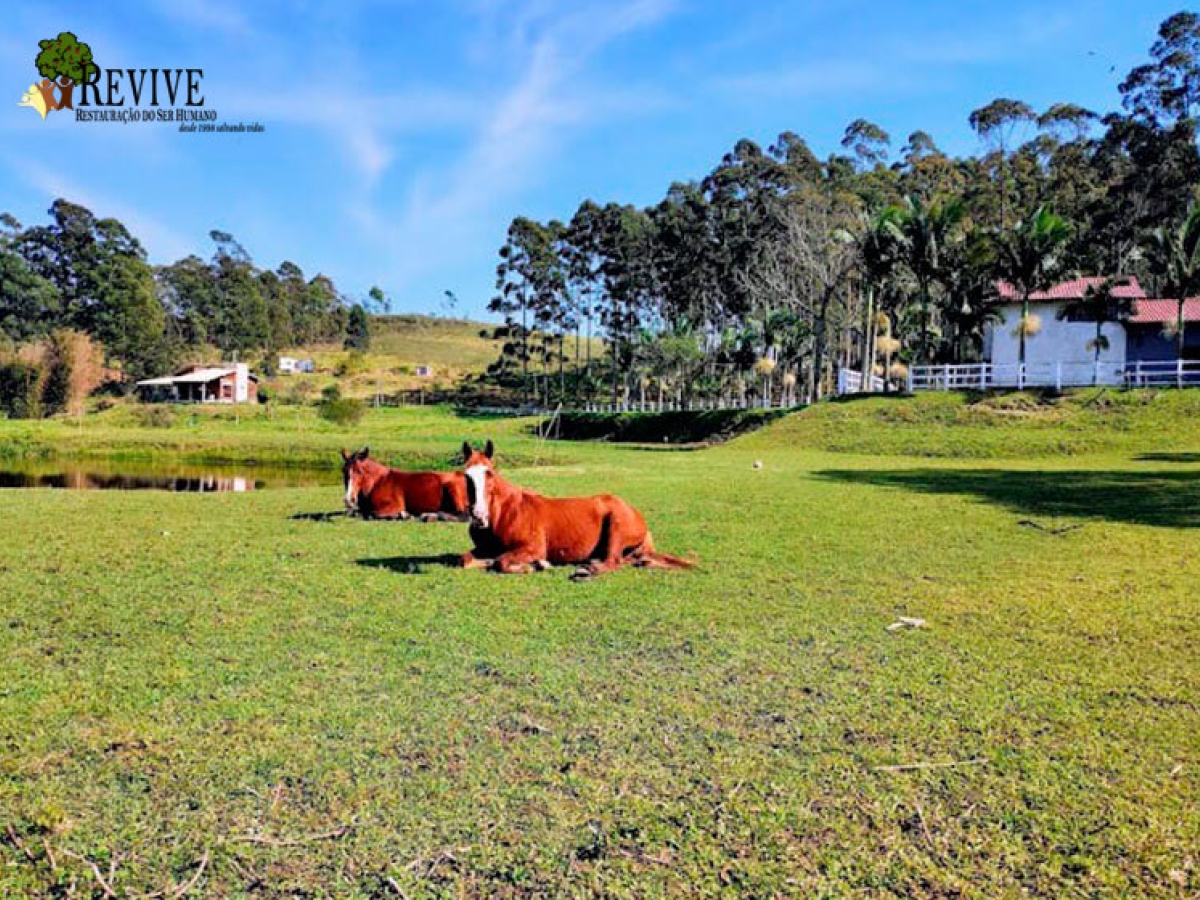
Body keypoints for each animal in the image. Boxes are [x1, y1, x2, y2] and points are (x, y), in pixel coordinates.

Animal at [458, 441, 696, 580]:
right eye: (466, 475)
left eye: (489, 473)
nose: (478, 517)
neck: (507, 512)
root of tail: (635, 513)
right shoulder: (485, 548)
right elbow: (465, 559)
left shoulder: (533, 548)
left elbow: (502, 561)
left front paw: (535, 566)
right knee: (630, 560)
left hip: (616, 527)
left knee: (614, 562)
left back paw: (587, 570)